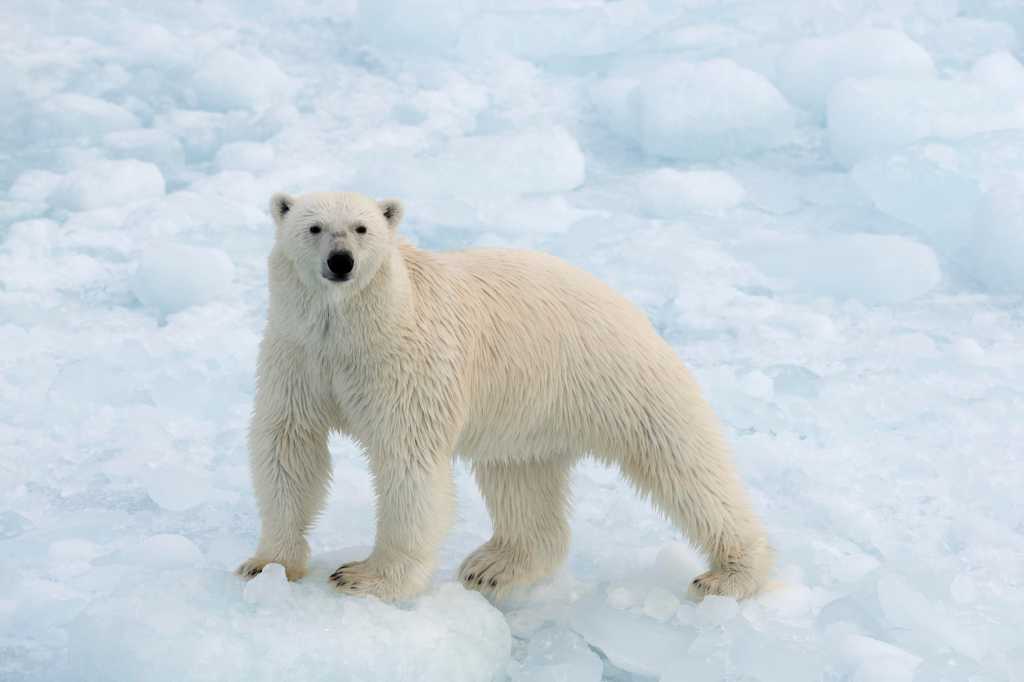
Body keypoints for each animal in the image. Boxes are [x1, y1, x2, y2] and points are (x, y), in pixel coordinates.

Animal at [237, 190, 773, 601]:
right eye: (314, 227)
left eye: (362, 228)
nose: (341, 261)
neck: (351, 329)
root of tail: (626, 305)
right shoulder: (299, 355)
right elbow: (289, 446)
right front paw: (267, 565)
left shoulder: (402, 367)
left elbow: (408, 465)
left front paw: (366, 577)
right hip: (528, 411)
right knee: (520, 480)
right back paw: (493, 565)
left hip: (616, 376)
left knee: (685, 465)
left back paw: (730, 574)